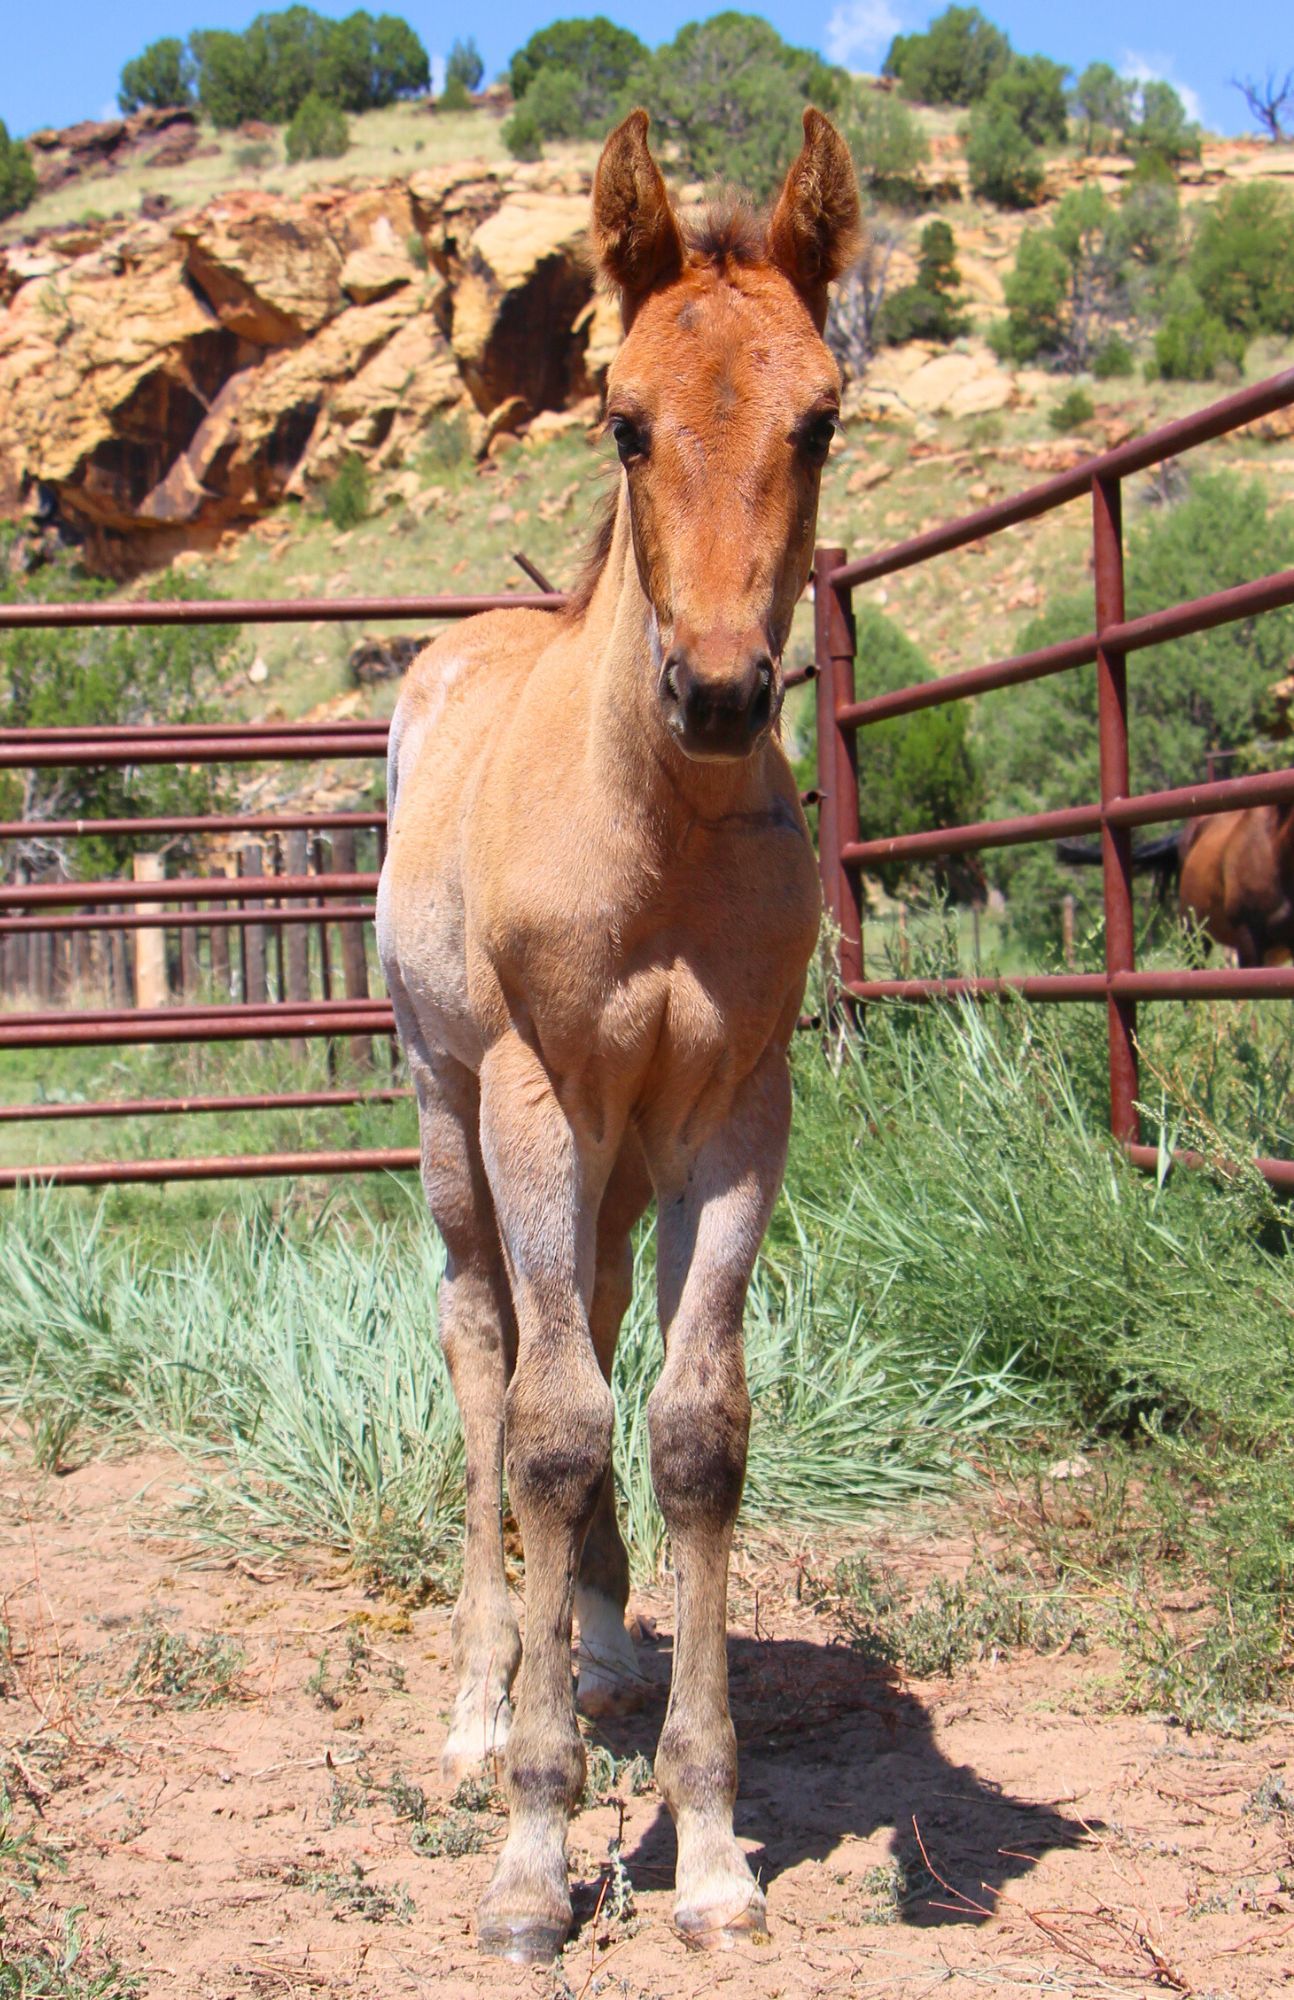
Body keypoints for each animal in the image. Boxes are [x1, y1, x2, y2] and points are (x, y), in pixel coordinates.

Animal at [375, 107, 860, 1962]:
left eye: (819, 417)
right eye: (623, 420)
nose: (717, 695)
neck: (657, 832)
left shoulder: (734, 1118)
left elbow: (689, 1432)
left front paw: (709, 1848)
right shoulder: (530, 1098)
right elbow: (551, 1428)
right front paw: (530, 1855)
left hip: (619, 1157)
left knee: (571, 1334)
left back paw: (583, 1650)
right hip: (453, 1120)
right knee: (485, 1357)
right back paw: (476, 1698)